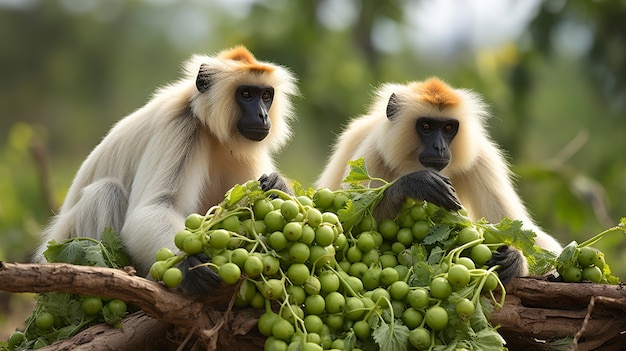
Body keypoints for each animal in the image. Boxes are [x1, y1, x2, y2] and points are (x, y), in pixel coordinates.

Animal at [34, 46, 298, 294]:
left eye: (266, 96)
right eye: (246, 94)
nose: (262, 115)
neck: (212, 131)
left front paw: (279, 186)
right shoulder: (181, 126)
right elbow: (153, 208)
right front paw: (189, 265)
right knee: (105, 191)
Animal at [316, 76, 560, 284]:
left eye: (448, 128)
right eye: (426, 126)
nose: (440, 147)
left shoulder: (482, 159)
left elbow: (522, 231)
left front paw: (515, 259)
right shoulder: (372, 154)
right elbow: (347, 229)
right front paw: (417, 183)